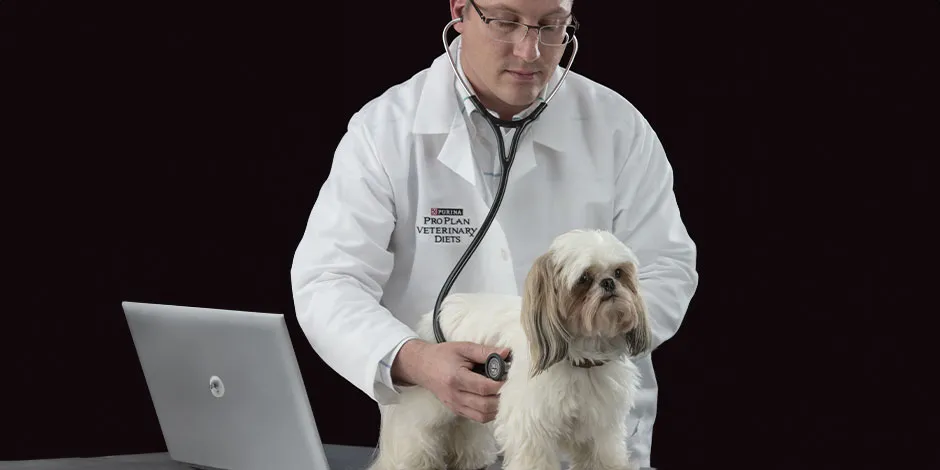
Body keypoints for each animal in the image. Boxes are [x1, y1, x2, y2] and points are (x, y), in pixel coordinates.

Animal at [370, 229, 652, 470]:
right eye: (584, 278)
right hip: (430, 403)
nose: (609, 283)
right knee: (416, 437)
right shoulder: (531, 428)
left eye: (619, 272)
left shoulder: (601, 430)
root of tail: (436, 314)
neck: (582, 357)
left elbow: (604, 456)